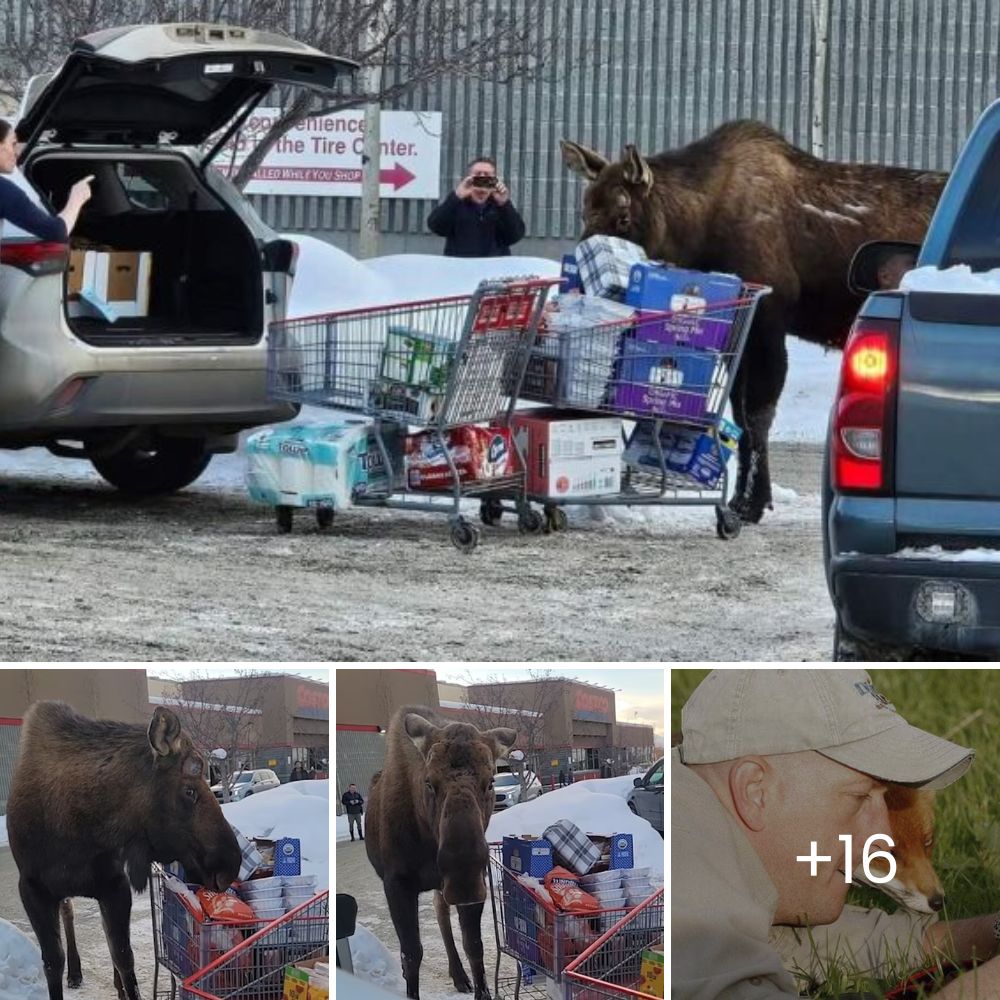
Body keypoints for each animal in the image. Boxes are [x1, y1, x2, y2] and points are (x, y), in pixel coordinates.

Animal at [7, 704, 242, 1000]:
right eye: (189, 790)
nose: (230, 866)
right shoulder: (32, 889)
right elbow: (52, 962)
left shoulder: (114, 885)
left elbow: (122, 956)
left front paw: (125, 986)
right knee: (69, 912)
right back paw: (75, 971)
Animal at [366, 704, 516, 1000]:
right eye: (429, 782)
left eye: (491, 781)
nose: (462, 877)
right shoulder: (396, 882)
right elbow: (411, 954)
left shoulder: (476, 884)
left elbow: (474, 945)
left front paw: (481, 990)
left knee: (441, 913)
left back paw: (459, 975)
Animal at [564, 121, 944, 524]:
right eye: (585, 212)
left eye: (623, 217)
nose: (581, 279)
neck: (694, 237)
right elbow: (739, 416)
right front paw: (742, 499)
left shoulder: (769, 322)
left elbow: (757, 415)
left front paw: (751, 502)